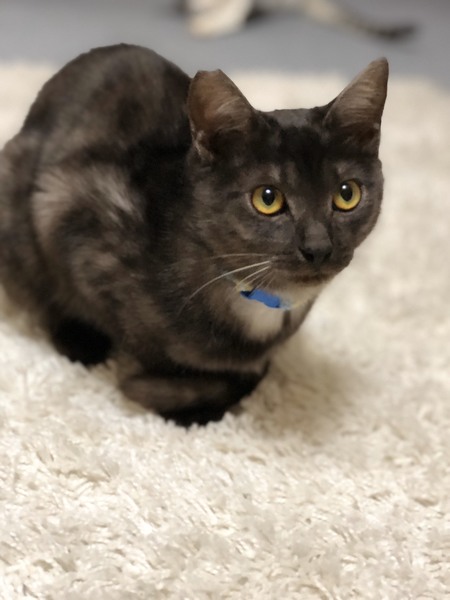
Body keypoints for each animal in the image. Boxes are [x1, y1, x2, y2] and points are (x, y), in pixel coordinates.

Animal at [0, 44, 388, 425]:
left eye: (347, 194)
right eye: (268, 199)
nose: (318, 247)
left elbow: (254, 371)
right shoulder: (62, 207)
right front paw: (165, 393)